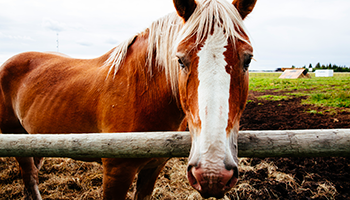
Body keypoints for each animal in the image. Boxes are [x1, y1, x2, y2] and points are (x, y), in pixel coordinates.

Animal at [0, 0, 258, 198]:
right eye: (180, 59)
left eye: (247, 59)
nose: (212, 174)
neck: (143, 91)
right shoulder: (117, 171)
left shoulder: (153, 168)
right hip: (15, 136)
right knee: (30, 177)